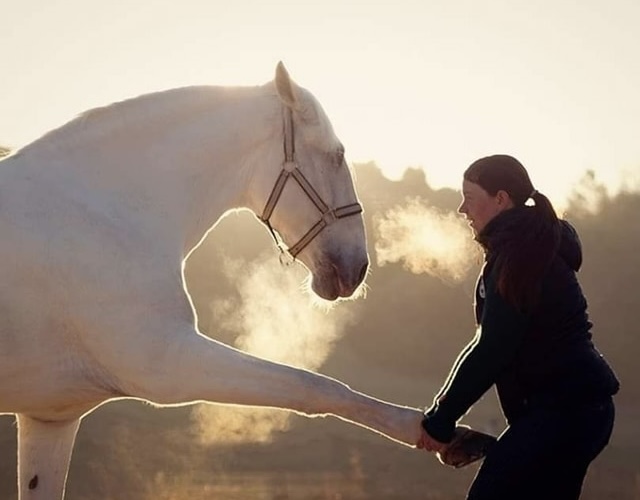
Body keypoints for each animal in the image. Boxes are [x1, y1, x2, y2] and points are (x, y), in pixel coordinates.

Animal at [0, 63, 424, 500]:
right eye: (337, 155)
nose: (357, 268)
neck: (106, 213)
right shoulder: (170, 365)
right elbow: (315, 387)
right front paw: (420, 427)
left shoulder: (50, 419)